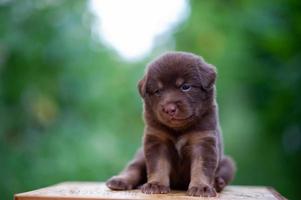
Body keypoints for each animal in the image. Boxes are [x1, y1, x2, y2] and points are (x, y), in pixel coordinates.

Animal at [105, 51, 234, 197]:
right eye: (158, 91)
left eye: (185, 87)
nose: (169, 108)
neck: (178, 130)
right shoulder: (157, 140)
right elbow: (158, 165)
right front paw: (156, 184)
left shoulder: (202, 141)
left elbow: (201, 166)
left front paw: (201, 187)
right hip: (141, 155)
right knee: (133, 167)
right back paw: (120, 181)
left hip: (228, 163)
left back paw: (218, 183)